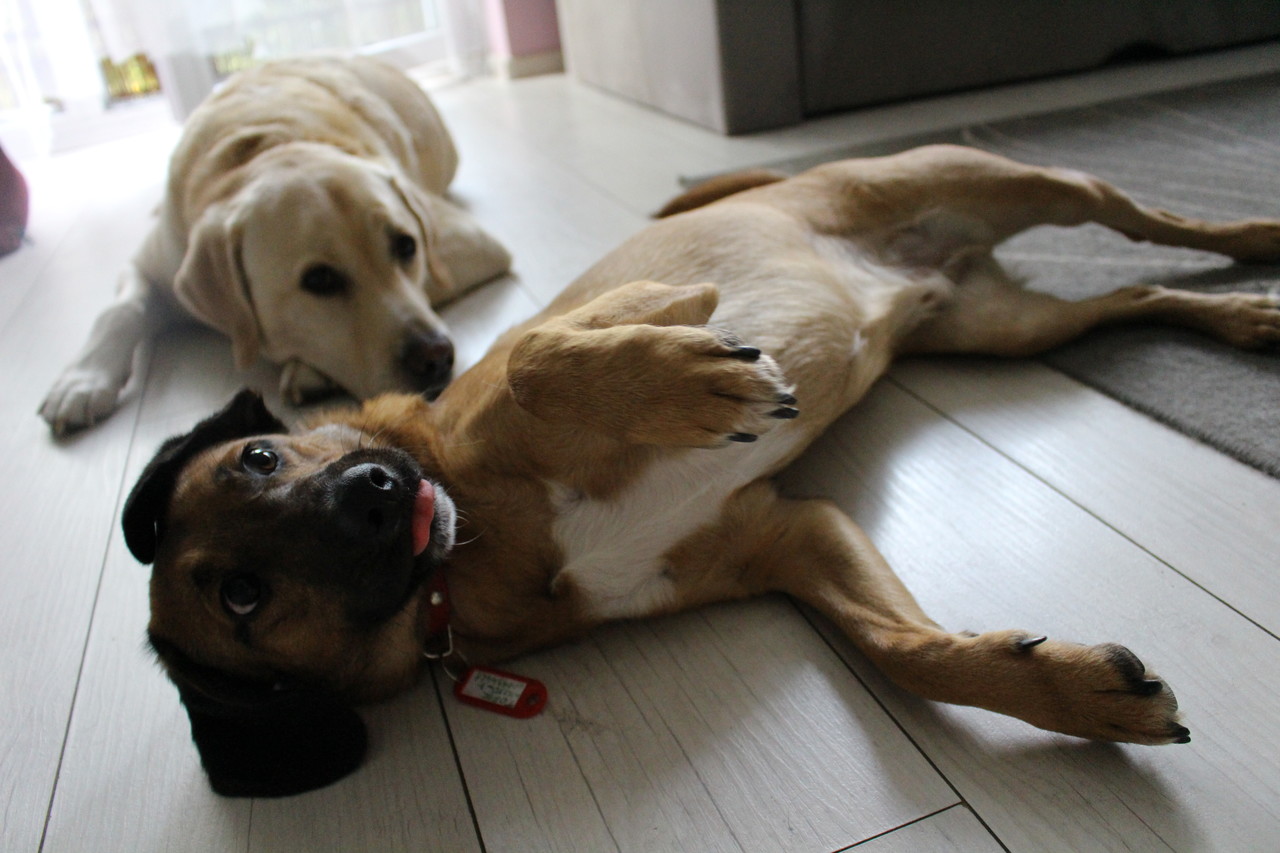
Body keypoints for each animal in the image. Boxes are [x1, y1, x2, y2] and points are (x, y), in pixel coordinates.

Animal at [39, 56, 511, 435]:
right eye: (319, 280)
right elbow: (119, 311)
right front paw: (82, 381)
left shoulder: (470, 241)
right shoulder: (152, 262)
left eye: (407, 247)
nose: (437, 357)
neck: (263, 150)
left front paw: (306, 371)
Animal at [122, 145, 1280, 797]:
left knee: (1142, 217)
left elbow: (543, 362)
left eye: (261, 454)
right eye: (242, 597)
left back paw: (1254, 235)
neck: (476, 544)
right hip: (1004, 330)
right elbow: (904, 651)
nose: (377, 495)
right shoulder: (788, 538)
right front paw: (1070, 693)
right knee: (1132, 299)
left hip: (1005, 182)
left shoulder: (586, 331)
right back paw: (1241, 315)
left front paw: (692, 381)